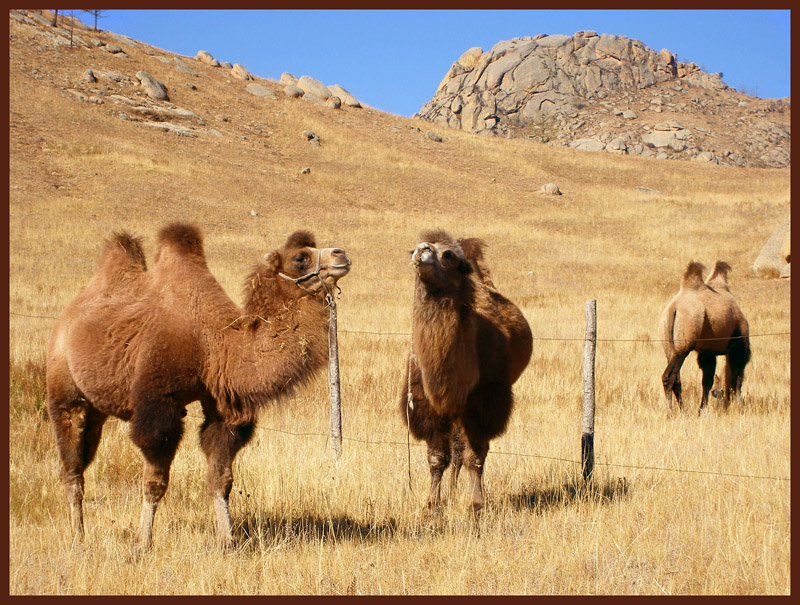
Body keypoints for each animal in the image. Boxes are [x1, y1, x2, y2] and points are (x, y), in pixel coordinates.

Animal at [46, 219, 350, 556]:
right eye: (300, 257)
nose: (341, 254)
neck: (214, 344)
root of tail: (67, 318)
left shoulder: (222, 405)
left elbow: (221, 479)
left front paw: (228, 541)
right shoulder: (158, 405)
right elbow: (154, 482)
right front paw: (141, 544)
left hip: (97, 408)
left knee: (82, 457)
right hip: (64, 391)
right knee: (71, 466)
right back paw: (78, 539)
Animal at [400, 229, 532, 512]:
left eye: (449, 255)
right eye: (413, 248)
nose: (422, 250)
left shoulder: (484, 403)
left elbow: (475, 456)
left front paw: (477, 504)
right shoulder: (427, 405)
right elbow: (437, 457)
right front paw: (432, 505)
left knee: (466, 451)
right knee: (456, 450)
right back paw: (450, 492)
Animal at [656, 262, 752, 412]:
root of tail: (674, 309)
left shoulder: (707, 352)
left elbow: (707, 381)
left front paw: (702, 411)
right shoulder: (739, 346)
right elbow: (736, 378)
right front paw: (739, 408)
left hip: (668, 345)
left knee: (676, 378)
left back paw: (681, 410)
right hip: (684, 347)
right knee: (669, 376)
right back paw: (671, 412)